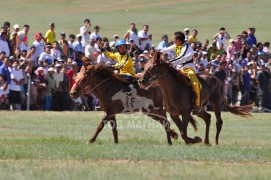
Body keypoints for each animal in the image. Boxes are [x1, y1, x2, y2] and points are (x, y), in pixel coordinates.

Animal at [70, 63, 198, 145]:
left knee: (165, 122)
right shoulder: (111, 113)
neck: (108, 88)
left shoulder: (109, 112)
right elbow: (114, 130)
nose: (72, 93)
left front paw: (90, 140)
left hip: (158, 109)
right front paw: (116, 143)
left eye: (83, 79)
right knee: (163, 122)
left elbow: (100, 126)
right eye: (76, 76)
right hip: (149, 111)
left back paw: (171, 141)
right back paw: (174, 136)